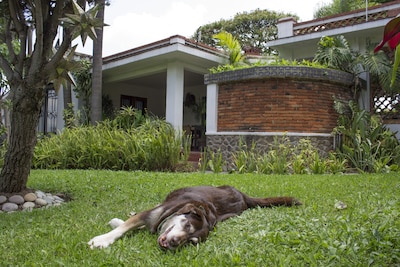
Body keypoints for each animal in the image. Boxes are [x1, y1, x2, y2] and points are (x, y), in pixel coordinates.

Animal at [87, 185, 300, 250]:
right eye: (188, 226)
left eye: (191, 241)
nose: (174, 243)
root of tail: (242, 195)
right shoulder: (152, 213)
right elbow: (122, 228)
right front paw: (103, 239)